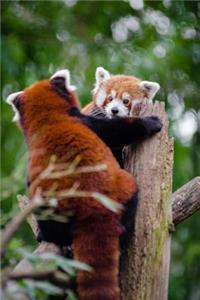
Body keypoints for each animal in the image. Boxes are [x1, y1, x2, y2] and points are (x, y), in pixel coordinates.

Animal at [6, 70, 162, 300]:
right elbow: (118, 130)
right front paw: (150, 122)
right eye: (109, 98)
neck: (49, 119)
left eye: (126, 101)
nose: (114, 111)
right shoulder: (91, 122)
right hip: (122, 186)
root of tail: (93, 209)